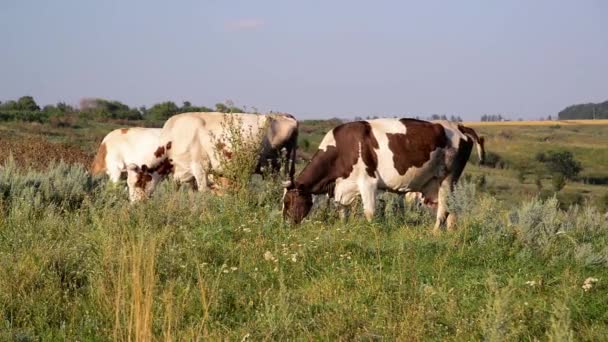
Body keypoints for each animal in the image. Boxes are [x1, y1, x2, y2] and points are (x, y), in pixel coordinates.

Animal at [128, 111, 300, 202]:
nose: (134, 205)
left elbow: (203, 192)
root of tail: (286, 116)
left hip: (274, 167)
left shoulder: (200, 168)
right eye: (128, 184)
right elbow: (186, 192)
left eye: (138, 182)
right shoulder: (183, 173)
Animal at [282, 117, 476, 232]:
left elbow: (369, 212)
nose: (285, 225)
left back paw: (434, 233)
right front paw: (343, 228)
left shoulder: (368, 182)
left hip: (447, 179)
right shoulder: (342, 187)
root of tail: (459, 126)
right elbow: (343, 211)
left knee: (443, 211)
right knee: (452, 211)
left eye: (288, 201)